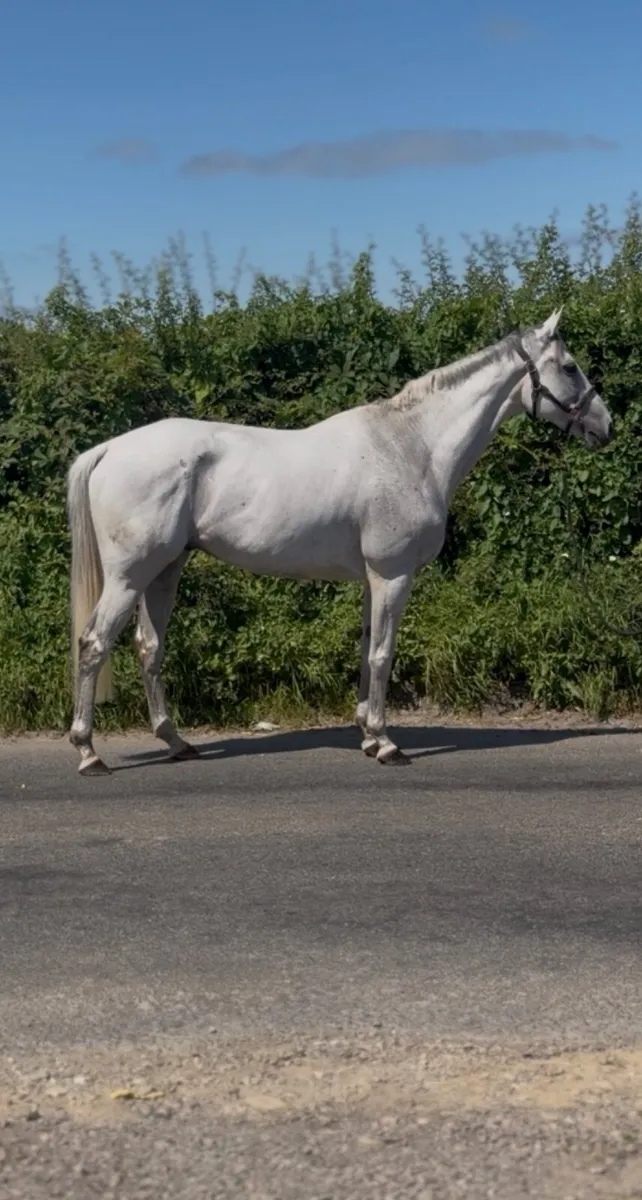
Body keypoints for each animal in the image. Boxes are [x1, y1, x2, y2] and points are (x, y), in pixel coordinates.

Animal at [67, 309, 613, 775]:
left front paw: (369, 735)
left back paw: (177, 742)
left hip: (164, 571)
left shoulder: (373, 579)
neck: (412, 446)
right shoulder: (393, 574)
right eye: (569, 367)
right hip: (129, 575)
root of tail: (110, 448)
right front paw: (387, 744)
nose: (605, 425)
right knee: (94, 644)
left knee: (149, 648)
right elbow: (383, 655)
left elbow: (367, 648)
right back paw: (89, 751)